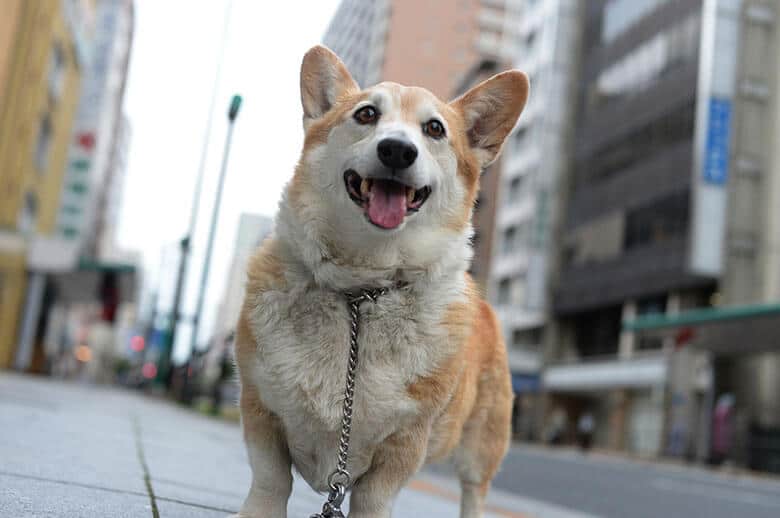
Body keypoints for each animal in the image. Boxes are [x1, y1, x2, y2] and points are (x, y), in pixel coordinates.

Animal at [230, 45, 524, 518]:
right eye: (367, 114)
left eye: (434, 129)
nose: (397, 151)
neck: (362, 286)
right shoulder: (261, 410)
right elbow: (271, 482)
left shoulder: (402, 444)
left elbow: (373, 500)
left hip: (482, 446)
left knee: (474, 492)